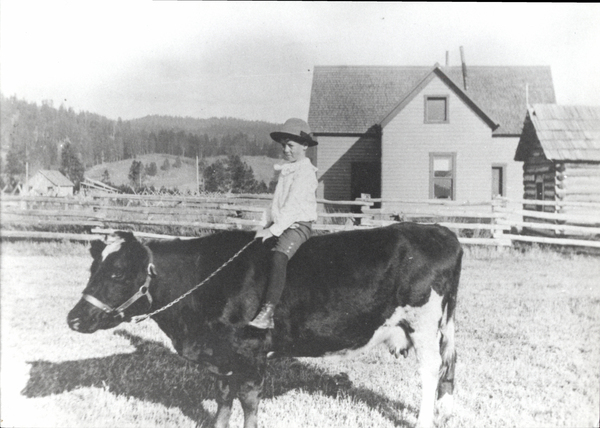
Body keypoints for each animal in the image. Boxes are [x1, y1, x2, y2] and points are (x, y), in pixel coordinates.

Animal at [68, 222, 462, 426]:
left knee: (431, 370)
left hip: (423, 322)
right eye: (92, 269)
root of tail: (440, 231)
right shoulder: (223, 355)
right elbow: (224, 397)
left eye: (118, 273)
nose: (74, 318)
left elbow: (248, 401)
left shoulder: (250, 350)